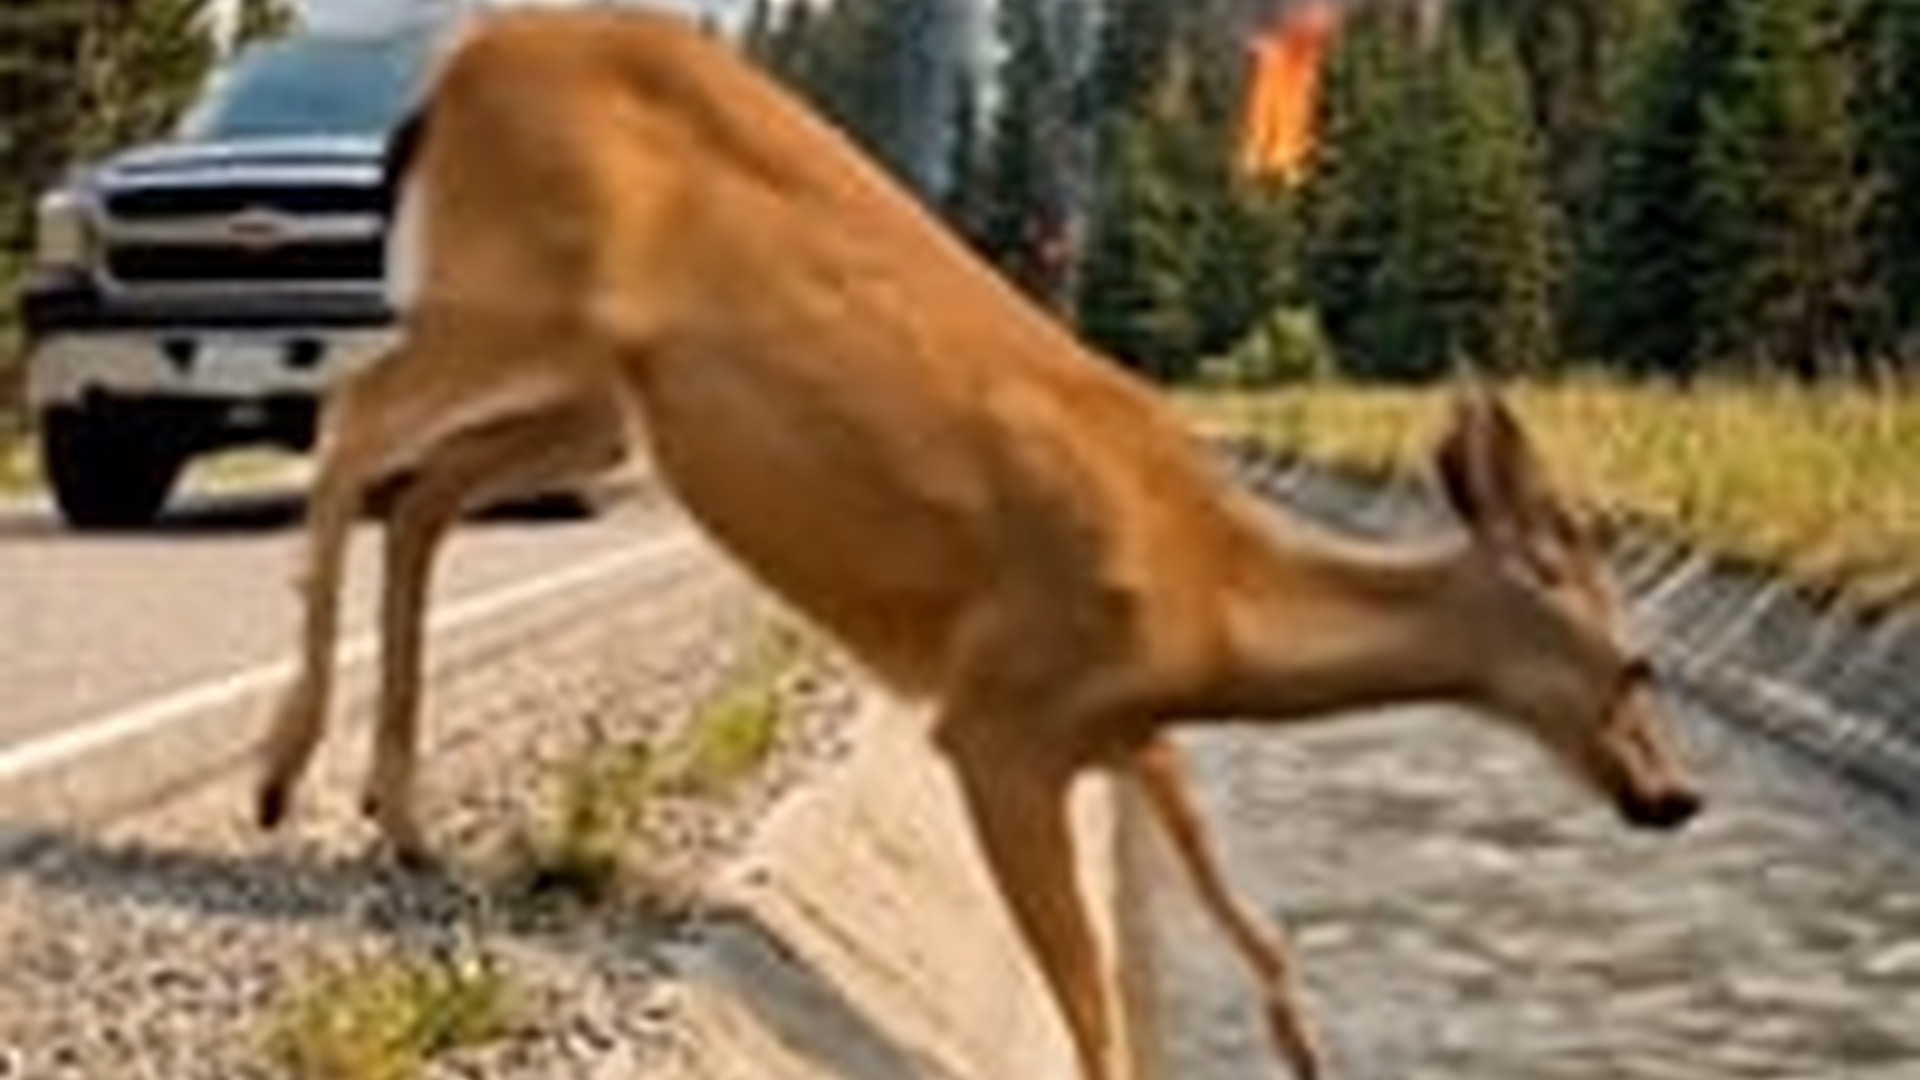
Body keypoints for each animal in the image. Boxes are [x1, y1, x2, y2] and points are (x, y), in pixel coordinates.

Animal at [255, 10, 1702, 1080]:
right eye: (1637, 666)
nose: (1677, 795)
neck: (1216, 605)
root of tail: (443, 82)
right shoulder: (1008, 715)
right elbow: (1092, 1006)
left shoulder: (1120, 731)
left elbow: (1233, 904)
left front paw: (1302, 1045)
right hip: (514, 293)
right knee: (352, 418)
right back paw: (281, 776)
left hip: (593, 392)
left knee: (424, 494)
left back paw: (401, 817)